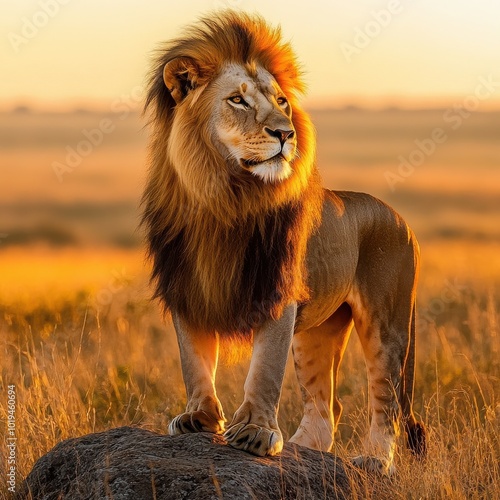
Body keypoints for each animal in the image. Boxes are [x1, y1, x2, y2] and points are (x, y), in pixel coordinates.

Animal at [141, 10, 426, 472]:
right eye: (237, 101)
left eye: (282, 102)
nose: (285, 133)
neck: (223, 200)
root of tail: (403, 221)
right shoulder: (188, 288)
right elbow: (193, 360)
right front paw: (198, 419)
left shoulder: (277, 292)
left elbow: (265, 369)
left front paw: (256, 433)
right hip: (317, 333)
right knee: (327, 407)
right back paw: (301, 448)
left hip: (386, 322)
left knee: (389, 398)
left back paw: (374, 461)